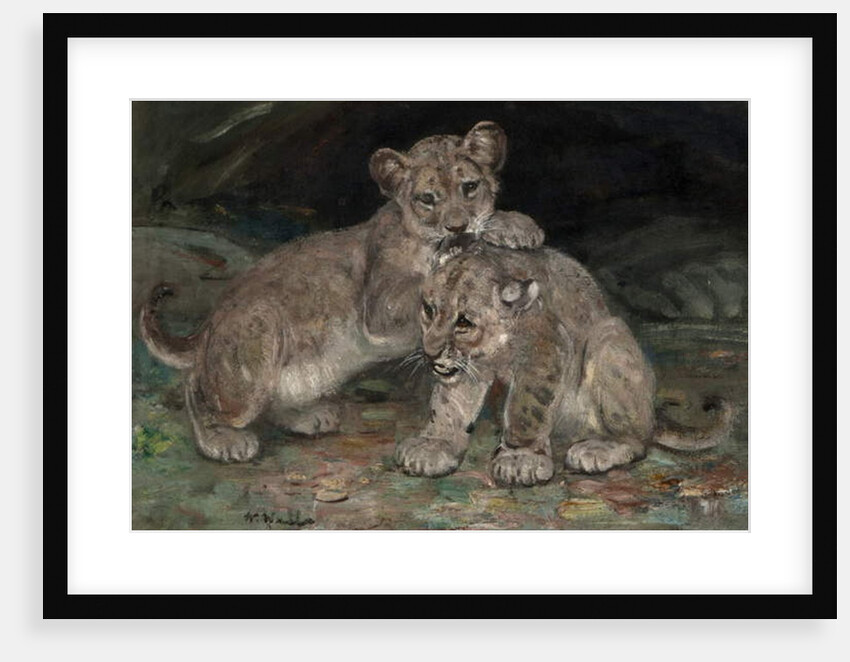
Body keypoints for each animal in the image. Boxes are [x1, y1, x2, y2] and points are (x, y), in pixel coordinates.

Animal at [140, 122, 544, 462]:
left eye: (469, 187)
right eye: (427, 198)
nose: (457, 226)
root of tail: (208, 326)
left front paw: (515, 226)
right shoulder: (381, 308)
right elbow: (429, 275)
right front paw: (470, 244)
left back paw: (310, 416)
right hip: (255, 341)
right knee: (198, 386)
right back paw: (222, 439)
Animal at [395, 239, 734, 486]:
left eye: (464, 322)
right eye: (429, 309)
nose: (430, 352)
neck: (493, 350)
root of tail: (652, 412)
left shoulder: (546, 350)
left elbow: (526, 409)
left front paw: (519, 459)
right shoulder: (468, 369)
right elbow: (448, 406)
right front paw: (434, 446)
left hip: (608, 340)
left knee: (639, 441)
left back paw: (598, 448)